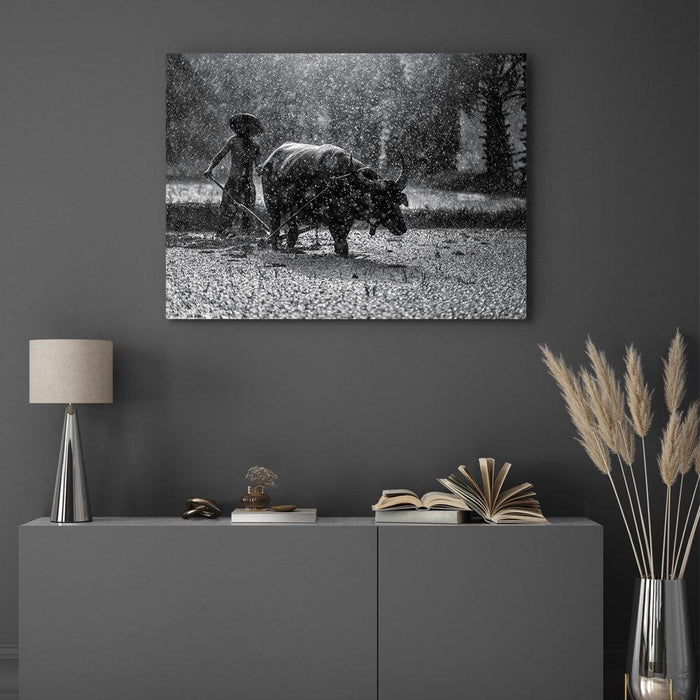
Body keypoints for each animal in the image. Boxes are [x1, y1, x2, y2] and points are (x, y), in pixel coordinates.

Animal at [259, 142, 408, 257]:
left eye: (396, 200)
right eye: (381, 200)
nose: (402, 226)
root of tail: (267, 162)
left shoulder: (347, 218)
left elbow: (343, 236)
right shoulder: (329, 217)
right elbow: (338, 237)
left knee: (290, 231)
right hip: (272, 205)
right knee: (276, 226)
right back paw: (275, 246)